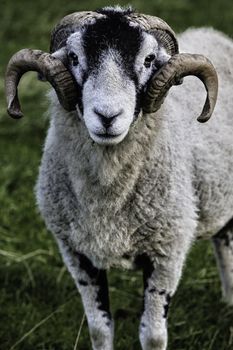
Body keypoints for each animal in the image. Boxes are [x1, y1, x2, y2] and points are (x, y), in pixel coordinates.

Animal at [5, 5, 233, 350]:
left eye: (149, 60)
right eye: (74, 57)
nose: (107, 116)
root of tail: (211, 33)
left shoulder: (168, 250)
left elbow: (153, 335)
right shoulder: (76, 252)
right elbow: (100, 329)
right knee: (224, 242)